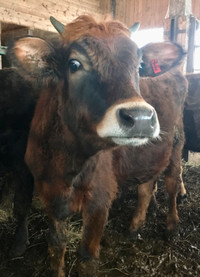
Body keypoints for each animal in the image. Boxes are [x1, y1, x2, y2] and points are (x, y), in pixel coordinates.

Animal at [8, 15, 188, 276]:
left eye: (139, 66)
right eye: (74, 64)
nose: (141, 118)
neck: (66, 164)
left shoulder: (100, 198)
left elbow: (87, 257)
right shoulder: (48, 191)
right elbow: (56, 245)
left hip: (176, 141)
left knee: (173, 182)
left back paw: (173, 226)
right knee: (146, 187)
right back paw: (134, 227)